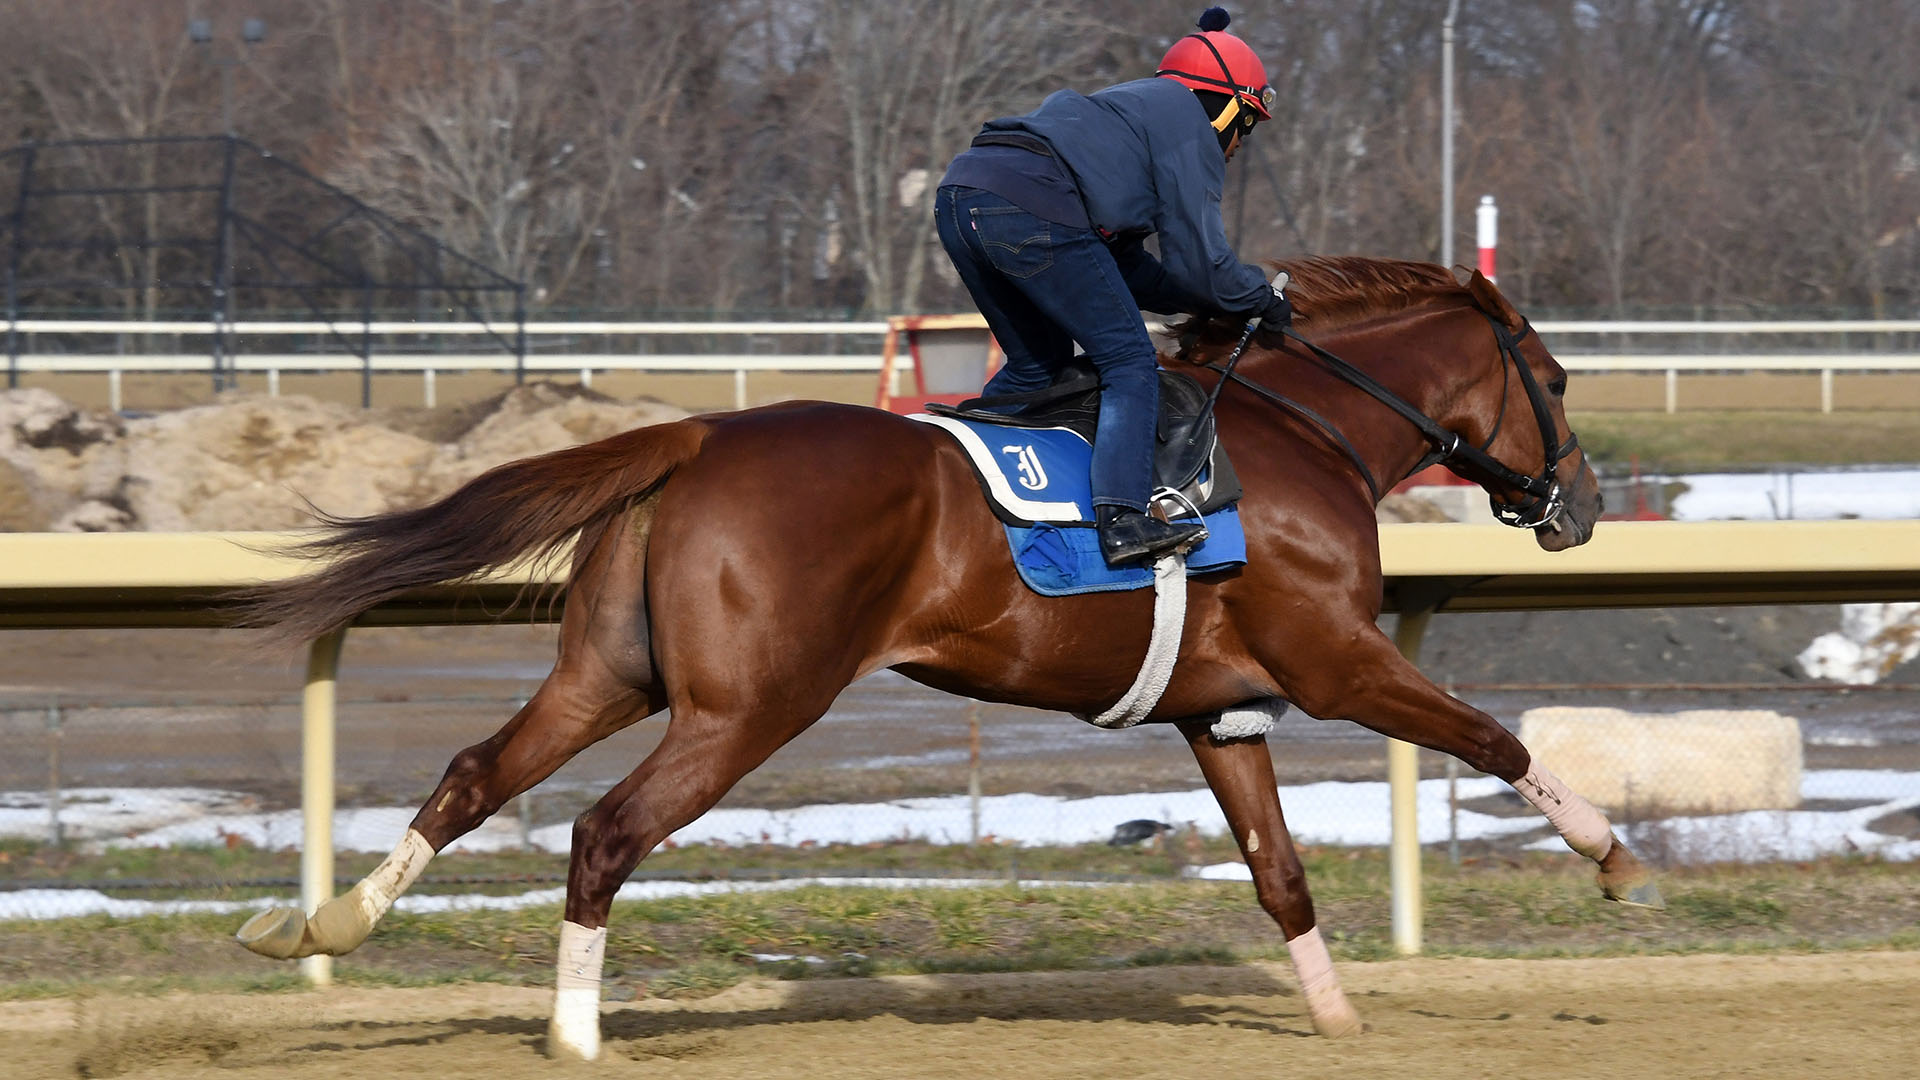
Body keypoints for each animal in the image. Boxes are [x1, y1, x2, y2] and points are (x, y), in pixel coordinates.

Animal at [232, 259, 1658, 1053]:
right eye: (1558, 381)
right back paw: (577, 1036)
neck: (1302, 433)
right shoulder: (1334, 663)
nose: (1585, 506)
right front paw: (1614, 859)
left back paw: (326, 922)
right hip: (750, 706)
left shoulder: (1226, 710)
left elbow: (1279, 873)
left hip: (611, 675)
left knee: (476, 775)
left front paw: (1338, 1020)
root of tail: (696, 434)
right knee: (606, 832)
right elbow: (1493, 735)